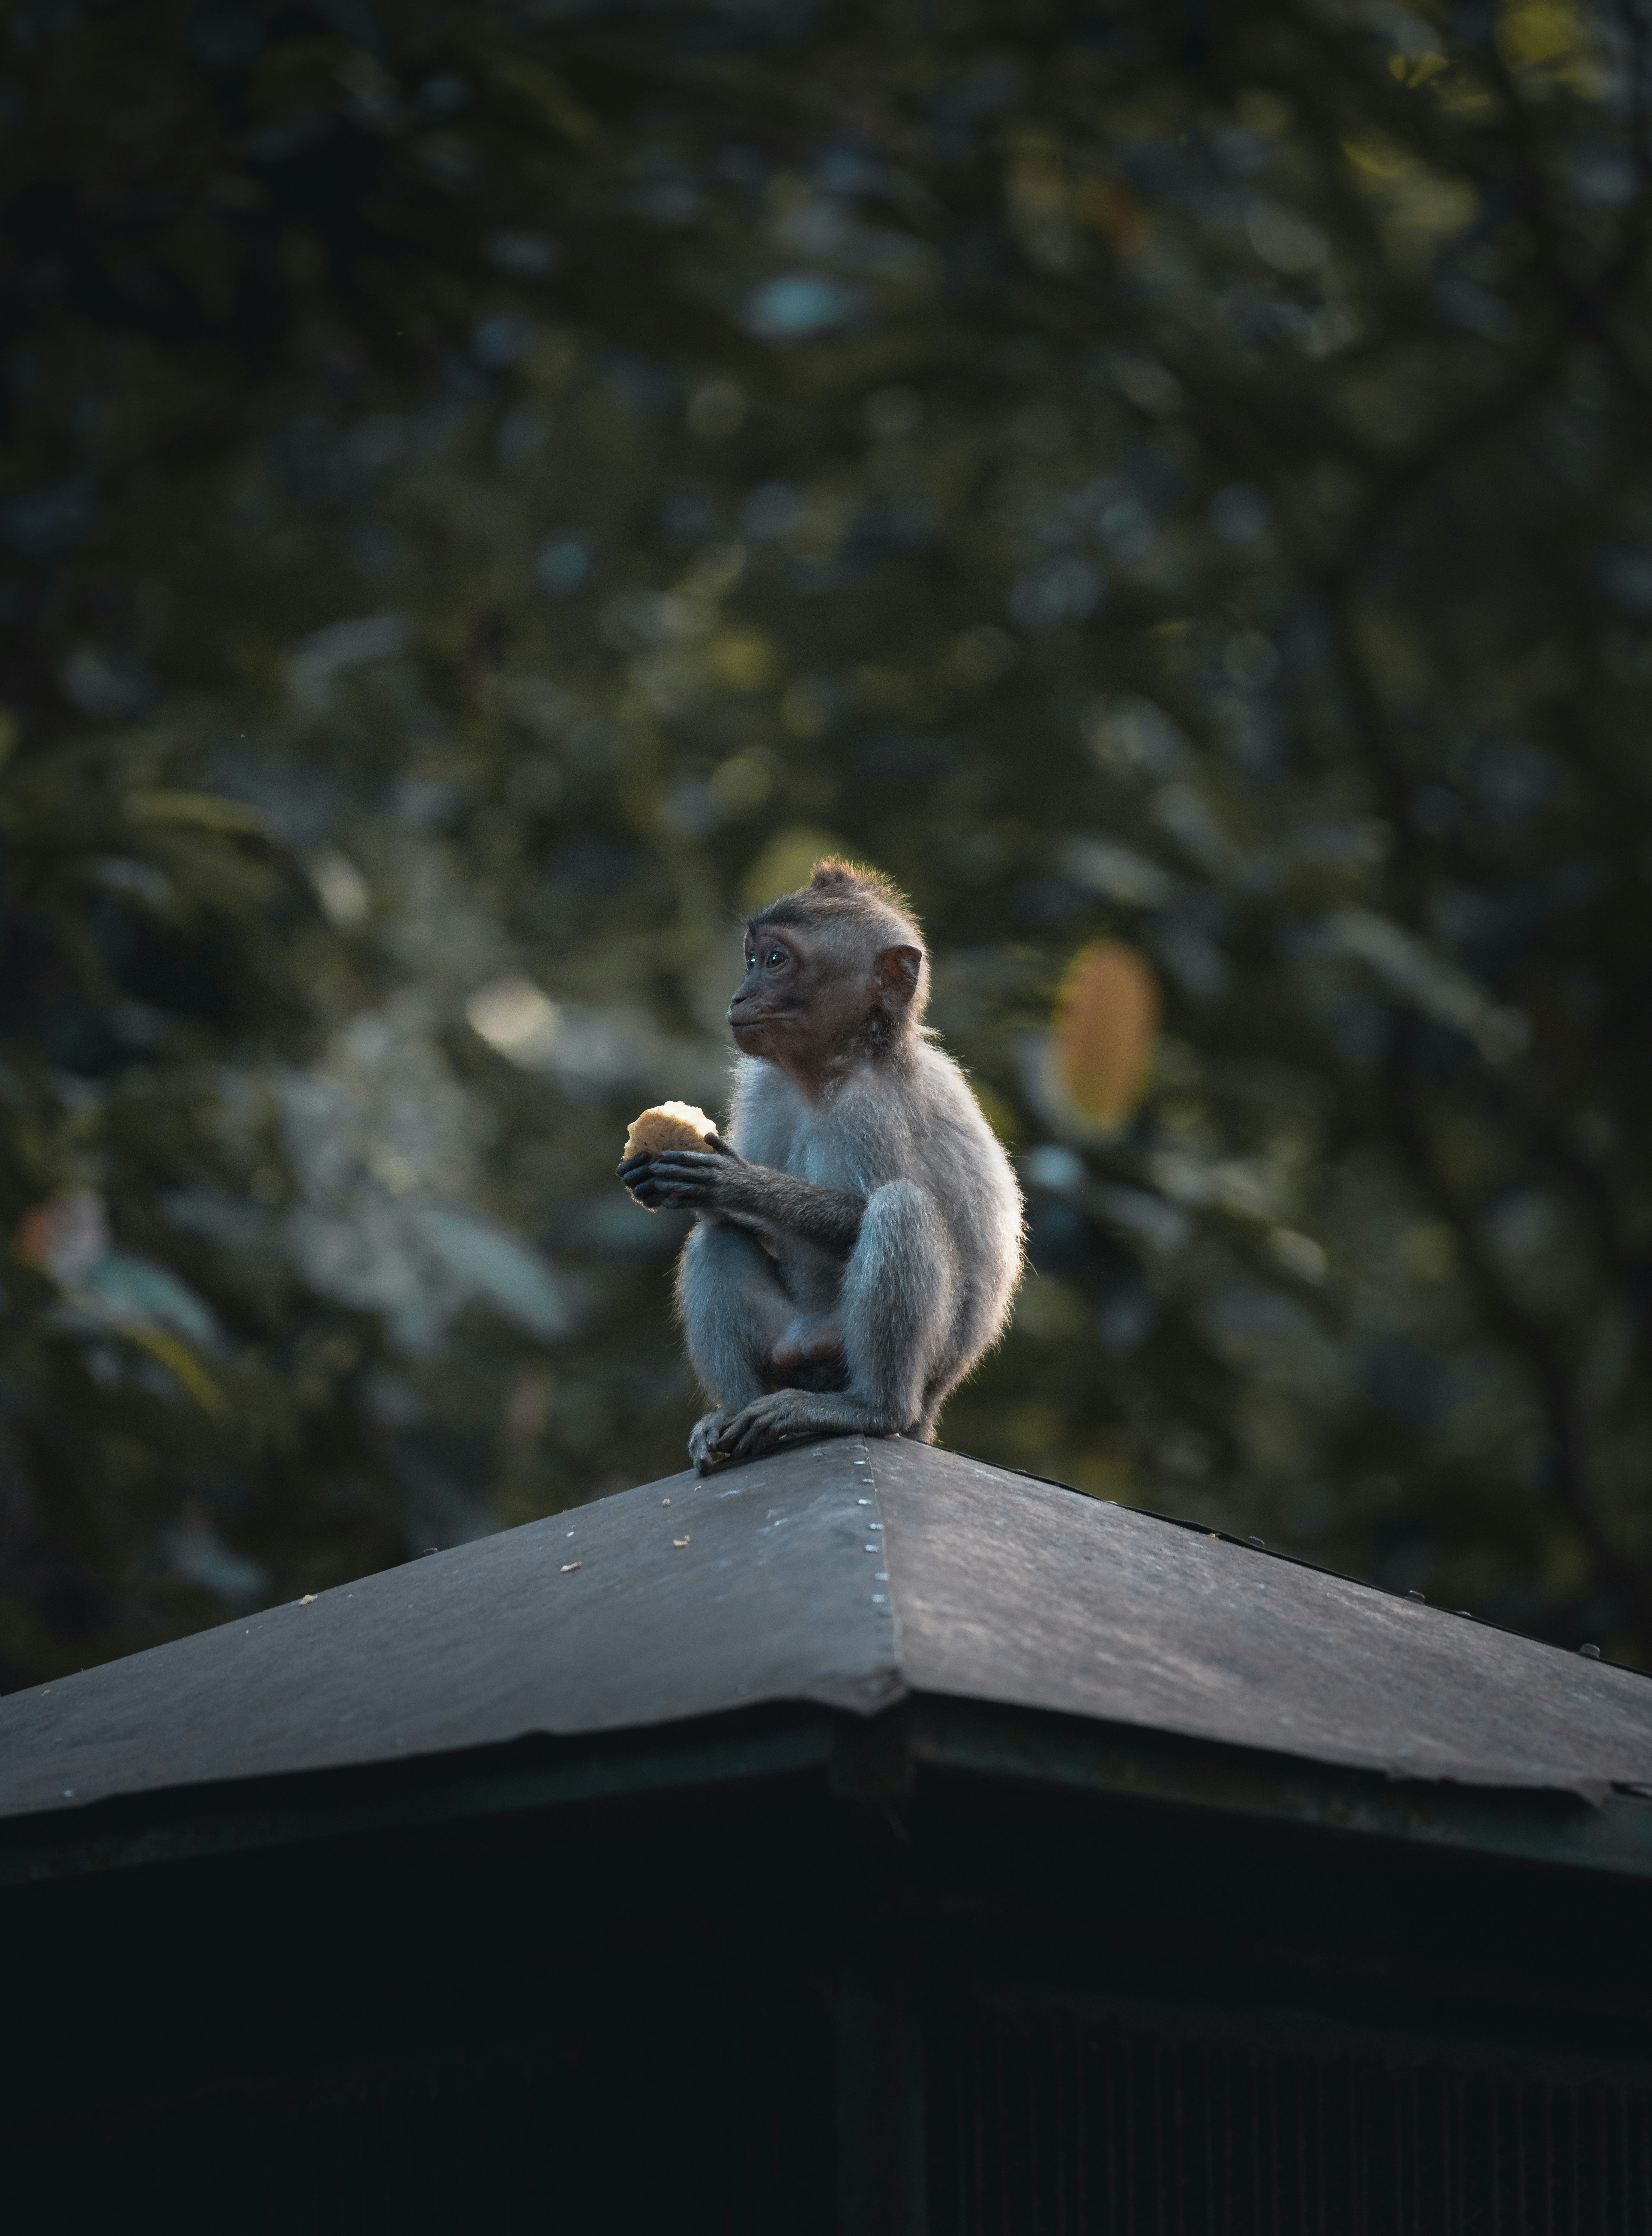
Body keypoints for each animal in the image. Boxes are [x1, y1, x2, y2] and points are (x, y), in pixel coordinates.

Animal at [617, 859, 1025, 1469]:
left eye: (776, 960)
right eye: (751, 960)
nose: (739, 996)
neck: (830, 1072)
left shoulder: (876, 1110)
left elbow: (859, 1214)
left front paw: (739, 1183)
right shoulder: (765, 1087)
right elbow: (730, 1223)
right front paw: (666, 1178)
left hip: (902, 1363)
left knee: (901, 1208)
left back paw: (871, 1410)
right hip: (790, 1347)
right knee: (717, 1239)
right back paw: (734, 1415)